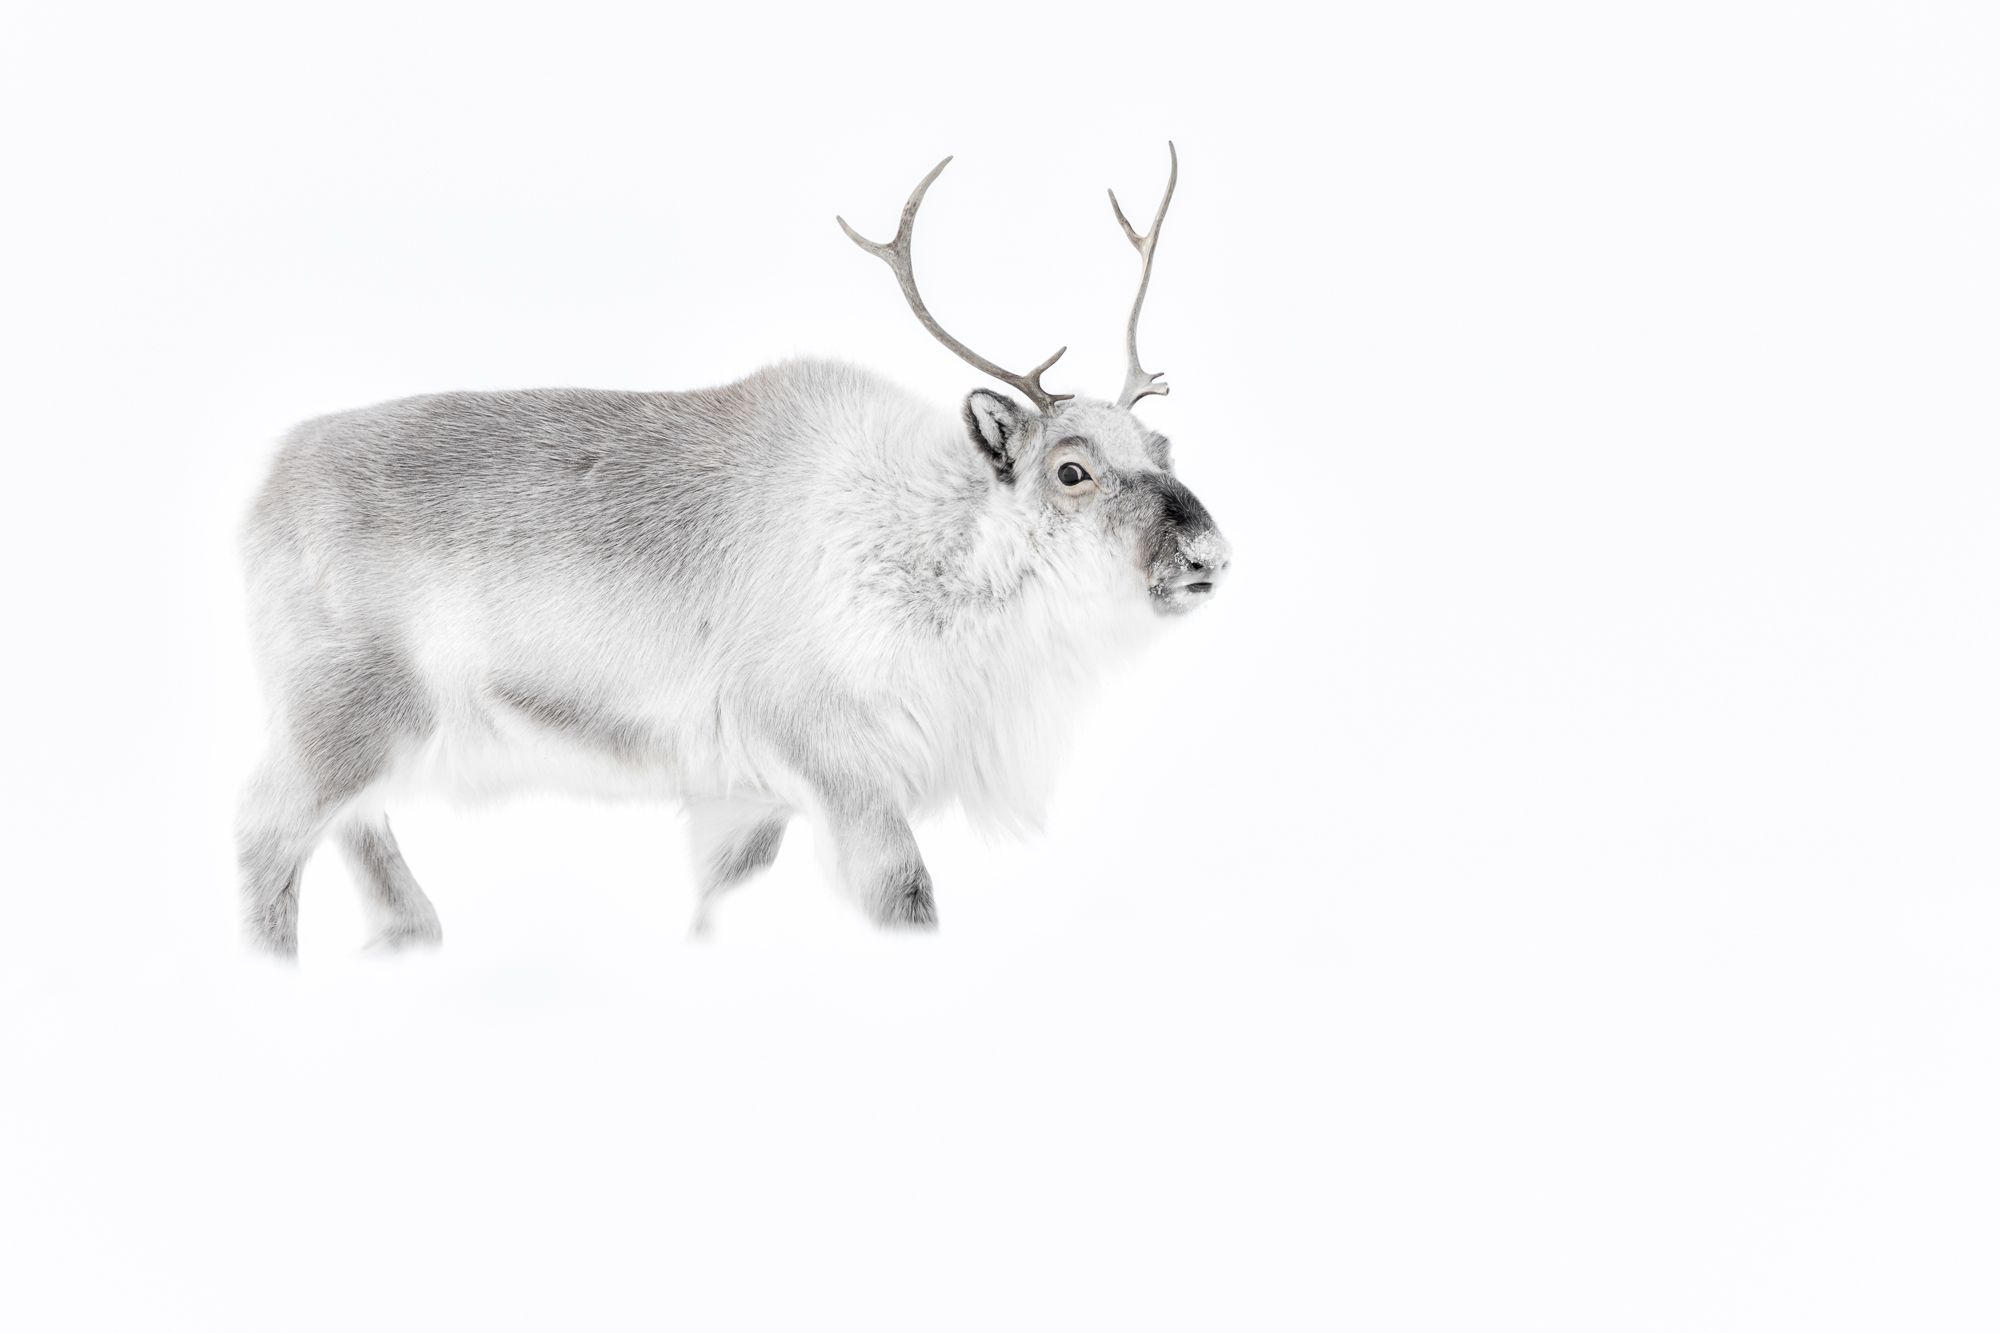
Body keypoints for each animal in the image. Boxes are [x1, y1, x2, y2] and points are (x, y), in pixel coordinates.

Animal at [236, 144, 1230, 956]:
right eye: (1071, 470)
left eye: (1165, 448)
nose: (1209, 553)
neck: (936, 562)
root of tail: (261, 493)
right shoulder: (836, 761)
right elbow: (905, 899)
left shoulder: (744, 799)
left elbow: (715, 906)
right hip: (341, 711)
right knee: (265, 837)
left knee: (361, 839)